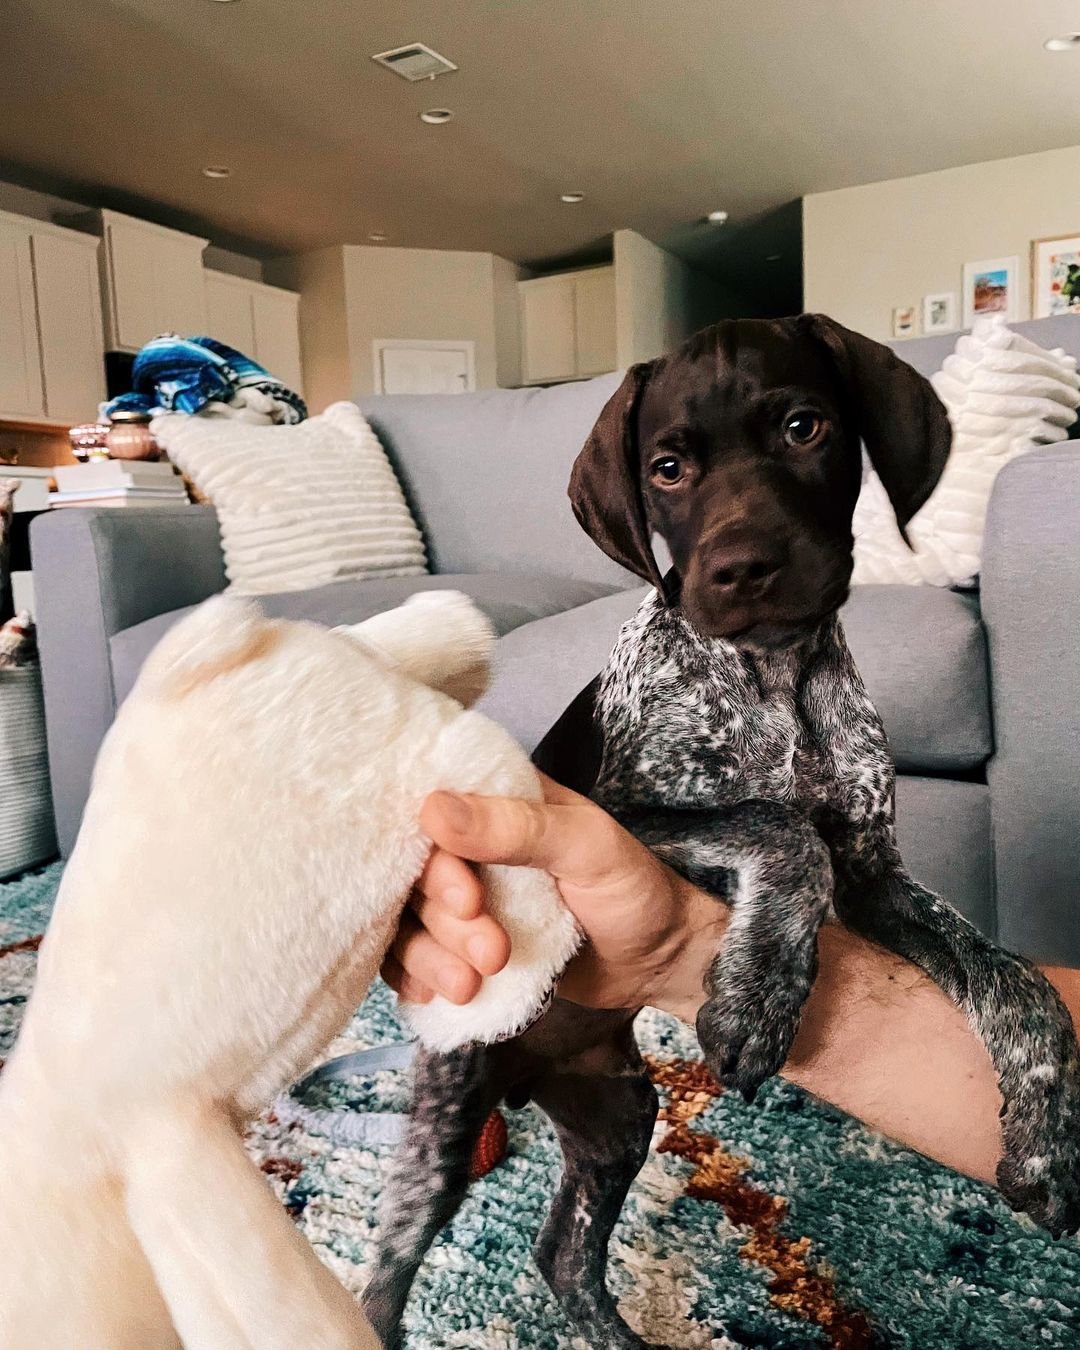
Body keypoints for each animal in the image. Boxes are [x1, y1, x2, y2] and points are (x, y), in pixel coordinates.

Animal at [363, 316, 1080, 1350]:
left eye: (802, 426)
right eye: (667, 469)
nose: (740, 569)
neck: (772, 679)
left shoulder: (876, 874)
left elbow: (1016, 978)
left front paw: (1047, 1134)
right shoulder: (616, 814)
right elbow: (778, 824)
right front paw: (761, 989)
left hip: (619, 1109)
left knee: (562, 1253)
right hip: (452, 1111)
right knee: (383, 1282)